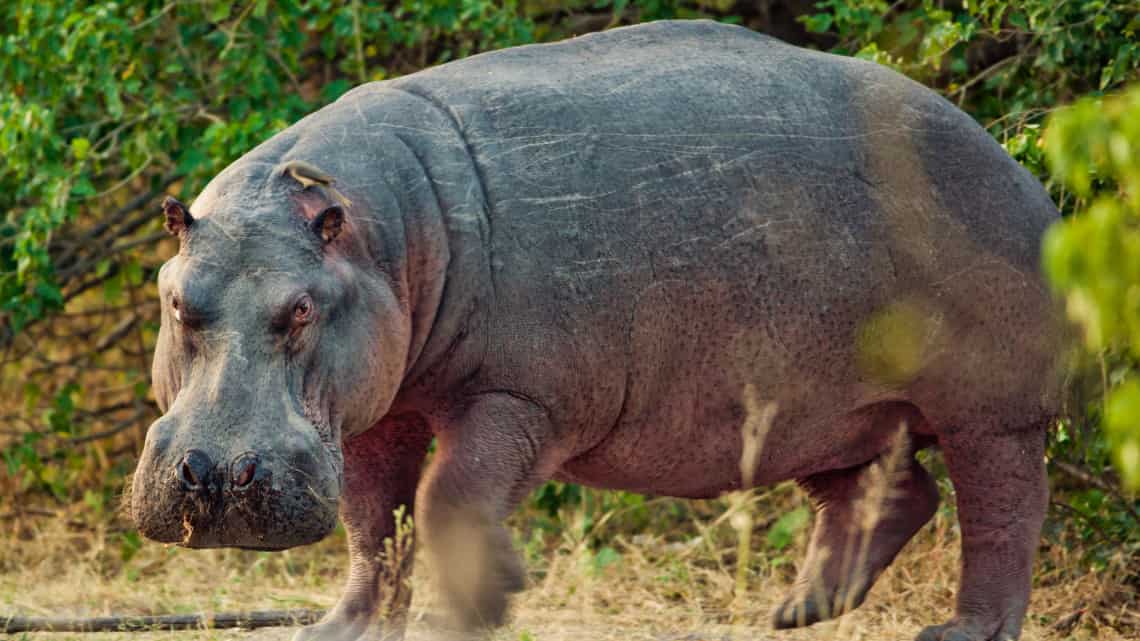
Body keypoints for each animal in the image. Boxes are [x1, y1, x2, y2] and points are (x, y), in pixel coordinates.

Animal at [129, 17, 1062, 638]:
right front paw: (337, 629)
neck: (380, 231)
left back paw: (961, 630)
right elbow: (373, 520)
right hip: (821, 404)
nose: (215, 477)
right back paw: (795, 612)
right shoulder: (372, 405)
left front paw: (484, 599)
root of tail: (1018, 167)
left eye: (300, 309)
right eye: (176, 298)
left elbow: (447, 496)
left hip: (991, 406)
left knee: (1002, 510)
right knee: (886, 492)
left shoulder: (521, 395)